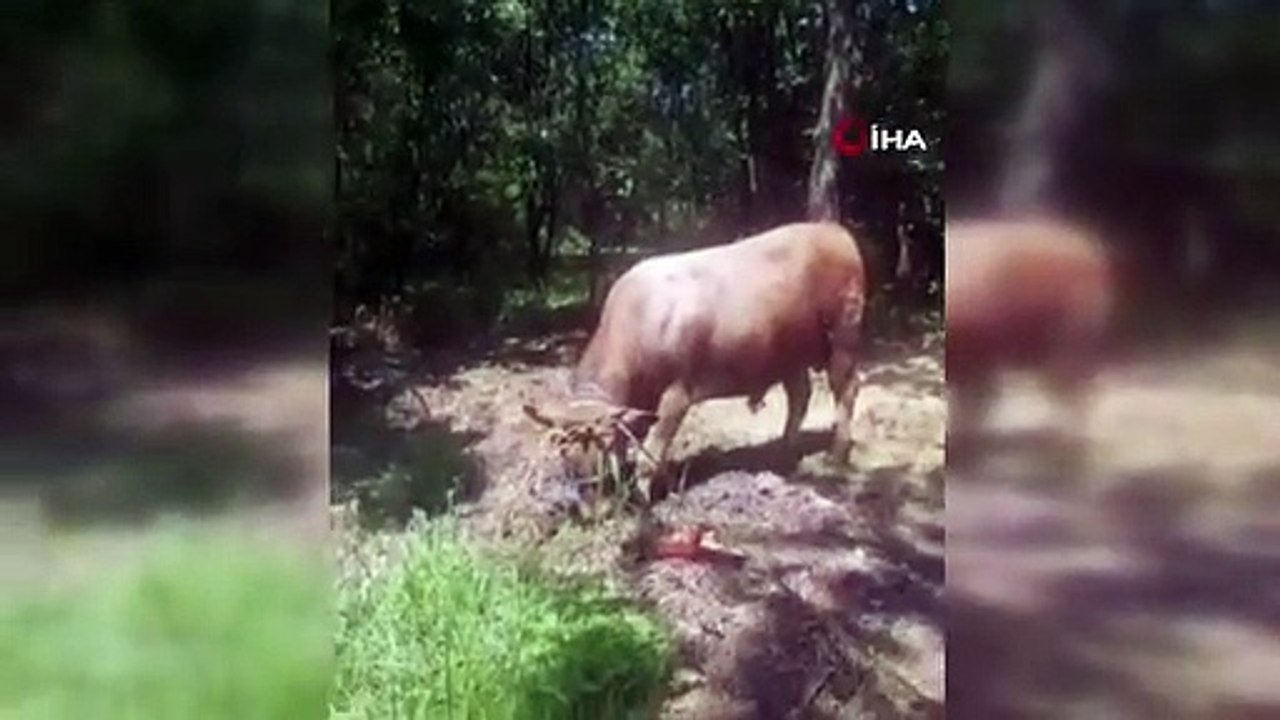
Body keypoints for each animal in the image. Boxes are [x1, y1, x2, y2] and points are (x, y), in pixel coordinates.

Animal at [524, 221, 868, 498]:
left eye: (602, 446)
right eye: (563, 451)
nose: (587, 491)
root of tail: (834, 232)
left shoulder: (677, 393)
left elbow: (653, 448)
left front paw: (646, 497)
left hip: (844, 337)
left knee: (846, 390)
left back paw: (835, 456)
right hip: (787, 353)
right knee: (800, 395)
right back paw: (782, 454)